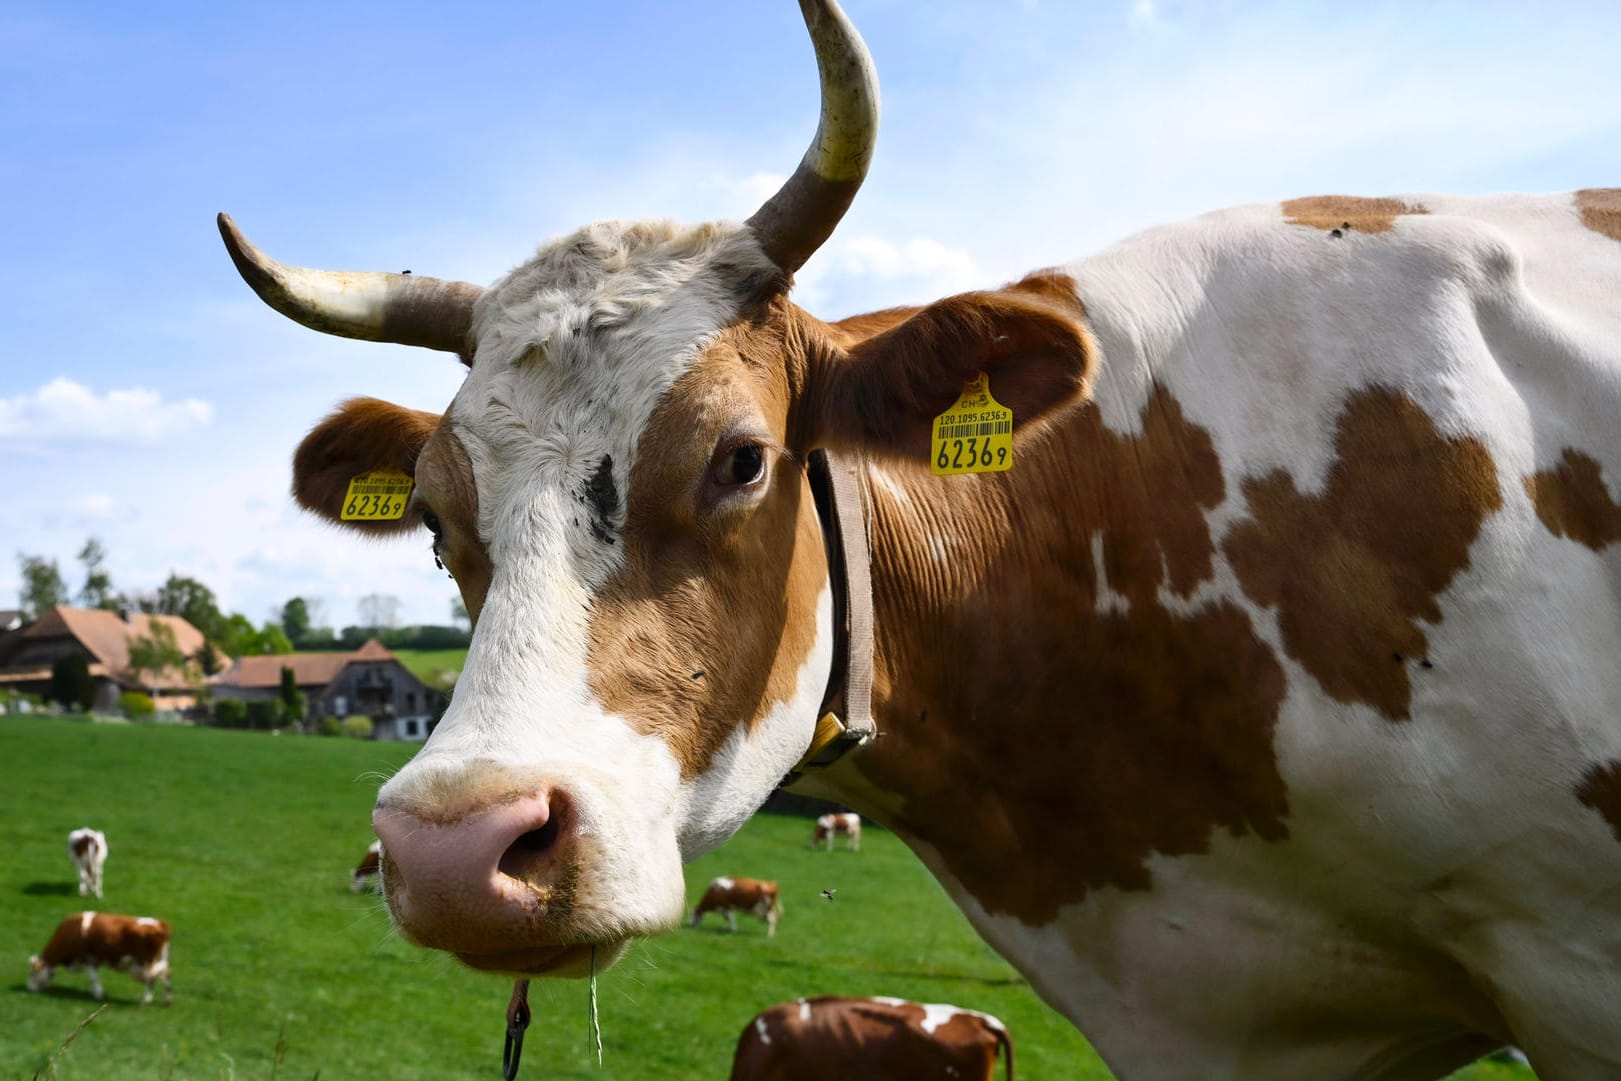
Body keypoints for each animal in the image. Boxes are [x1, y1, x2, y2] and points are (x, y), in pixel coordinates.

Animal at [26, 914, 171, 1004]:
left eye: (33, 972)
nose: (30, 988)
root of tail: (160, 924)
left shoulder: (87, 959)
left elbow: (93, 977)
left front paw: (98, 994)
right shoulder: (93, 961)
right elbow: (95, 977)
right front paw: (95, 991)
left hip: (147, 963)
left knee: (159, 974)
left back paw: (147, 999)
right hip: (156, 959)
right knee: (161, 974)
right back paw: (164, 1000)